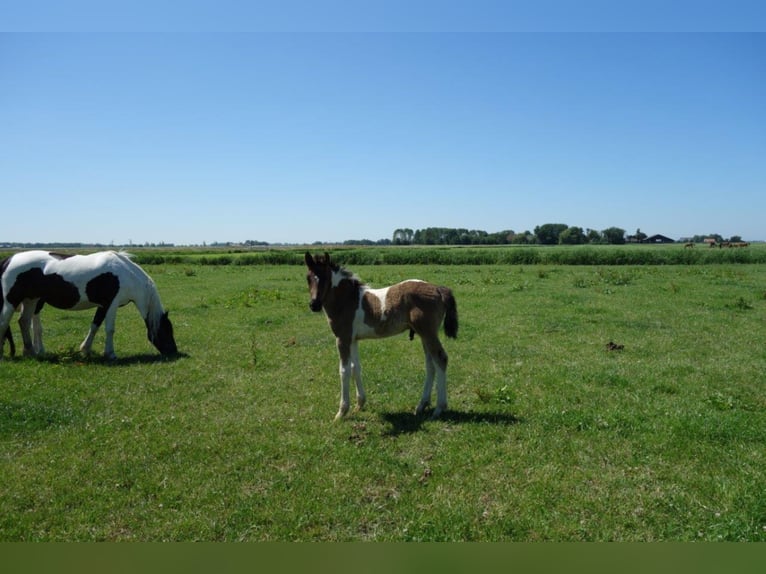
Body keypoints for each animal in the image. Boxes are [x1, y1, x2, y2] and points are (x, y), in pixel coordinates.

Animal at [0, 251, 177, 360]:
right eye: (166, 331)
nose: (174, 352)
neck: (126, 275)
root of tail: (9, 260)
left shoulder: (103, 306)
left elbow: (95, 326)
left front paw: (85, 349)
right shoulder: (112, 304)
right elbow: (109, 329)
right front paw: (110, 354)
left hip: (31, 300)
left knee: (24, 322)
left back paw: (30, 352)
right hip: (12, 301)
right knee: (4, 322)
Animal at [304, 253, 462, 424]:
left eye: (326, 277)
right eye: (308, 278)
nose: (314, 305)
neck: (347, 300)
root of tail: (438, 289)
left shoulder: (342, 339)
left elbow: (344, 370)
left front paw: (341, 412)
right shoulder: (353, 339)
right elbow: (355, 368)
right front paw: (360, 404)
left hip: (428, 333)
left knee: (441, 359)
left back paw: (439, 408)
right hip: (424, 335)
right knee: (431, 364)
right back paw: (421, 405)